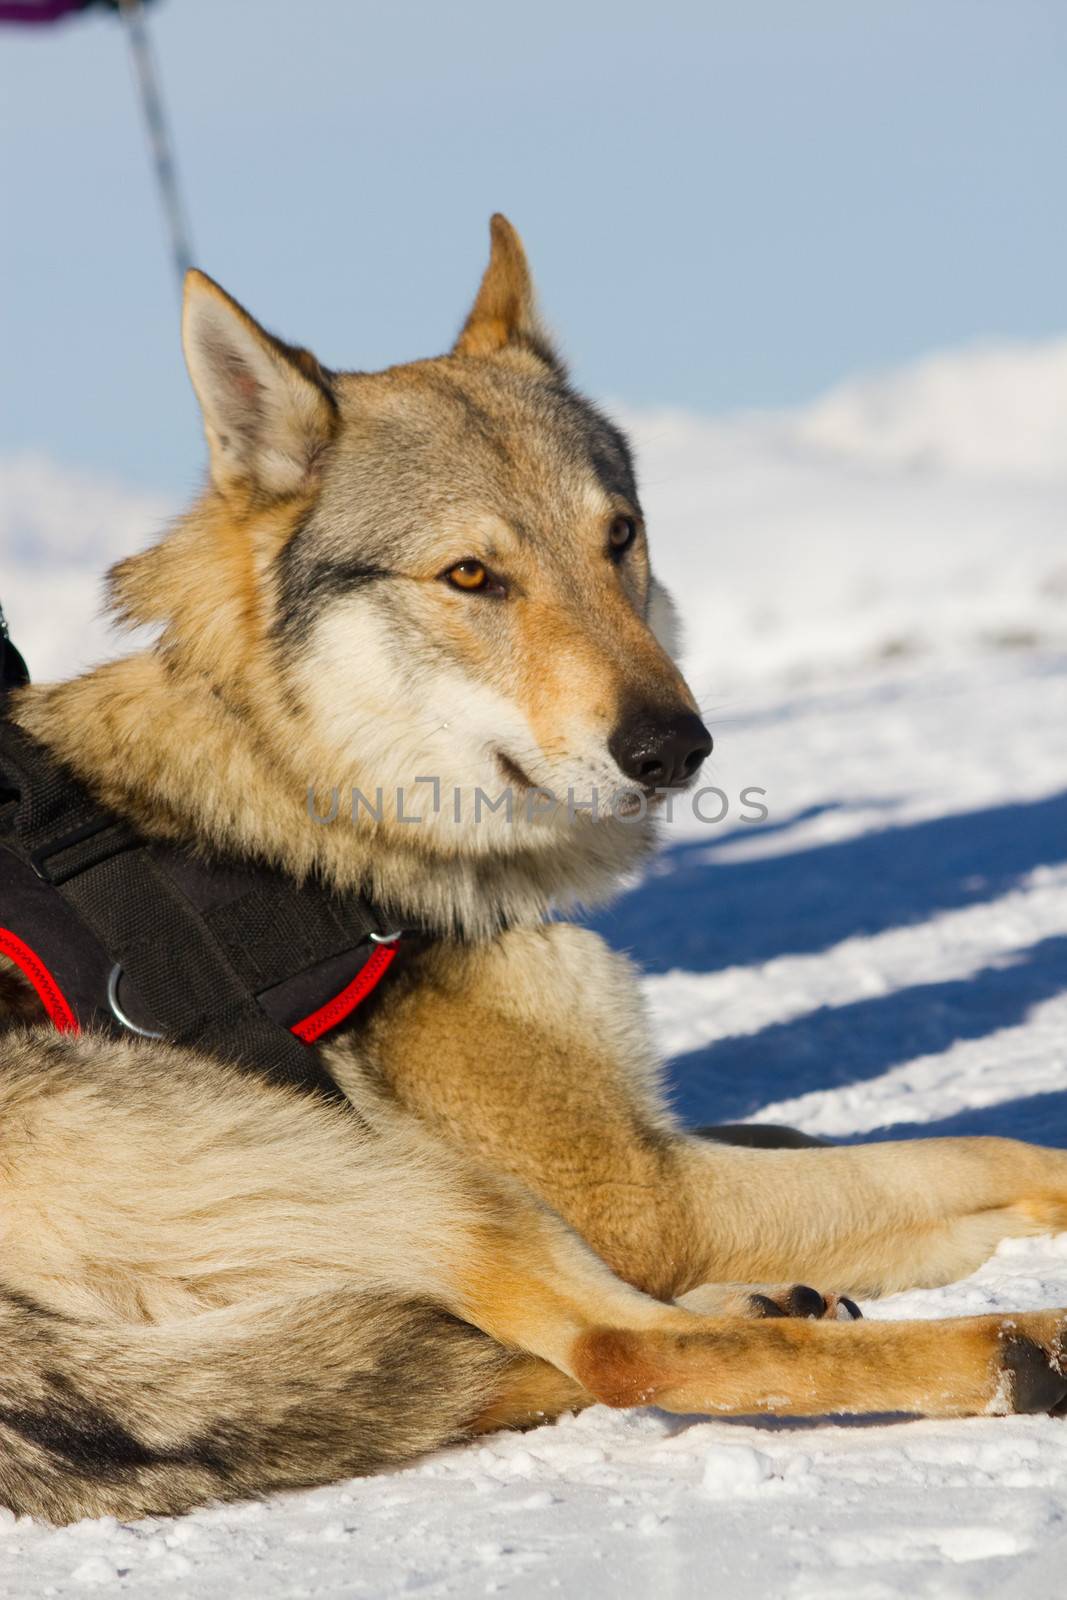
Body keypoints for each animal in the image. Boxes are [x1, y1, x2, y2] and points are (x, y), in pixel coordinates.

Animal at [2, 216, 1067, 1523]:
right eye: (470, 576)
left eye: (618, 537)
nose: (674, 747)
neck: (312, 788)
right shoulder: (644, 1196)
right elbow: (973, 1148)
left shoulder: (638, 1148)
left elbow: (823, 1137)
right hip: (440, 1189)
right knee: (632, 1351)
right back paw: (1014, 1343)